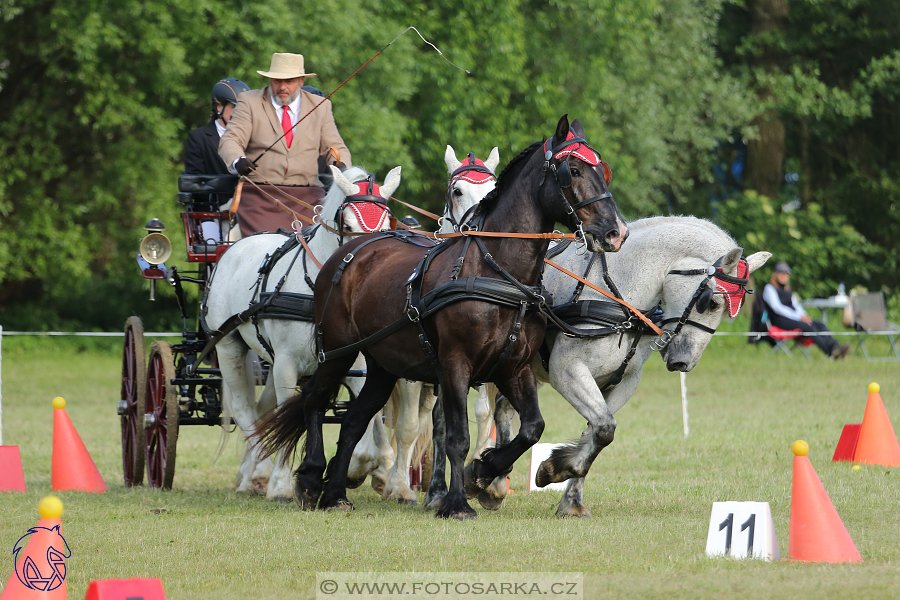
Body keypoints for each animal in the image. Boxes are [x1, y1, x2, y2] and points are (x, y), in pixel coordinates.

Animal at [206, 164, 402, 496]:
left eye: (387, 223)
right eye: (347, 224)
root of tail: (236, 247)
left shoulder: (356, 362)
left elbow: (366, 414)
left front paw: (358, 468)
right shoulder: (287, 363)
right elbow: (288, 411)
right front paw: (282, 484)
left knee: (262, 412)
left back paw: (250, 471)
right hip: (229, 347)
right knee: (246, 412)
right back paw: (258, 472)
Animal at [468, 216, 768, 516]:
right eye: (712, 302)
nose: (684, 362)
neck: (620, 297)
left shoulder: (622, 382)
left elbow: (597, 432)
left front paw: (569, 495)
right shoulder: (567, 371)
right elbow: (603, 428)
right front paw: (555, 469)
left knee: (503, 409)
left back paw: (494, 484)